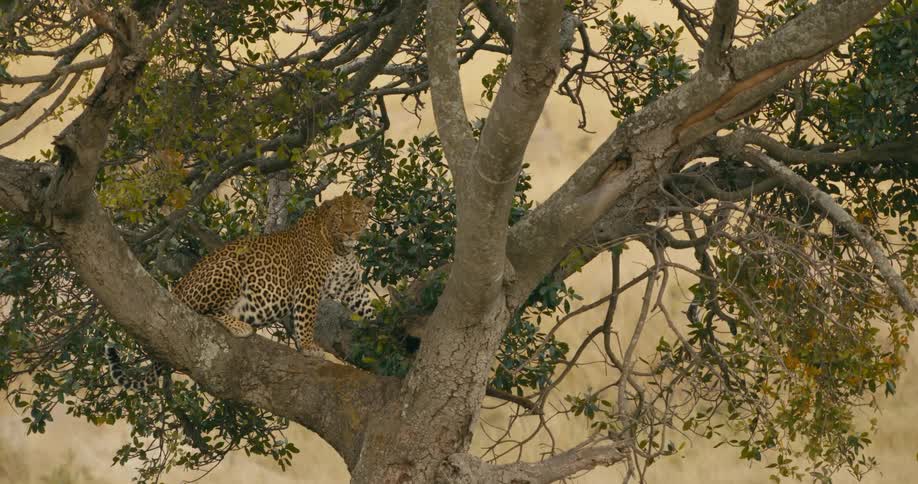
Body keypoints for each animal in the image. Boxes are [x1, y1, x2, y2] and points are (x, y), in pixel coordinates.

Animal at [105, 193, 376, 390]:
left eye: (357, 215)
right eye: (340, 217)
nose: (350, 231)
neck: (340, 248)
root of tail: (177, 289)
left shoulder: (350, 287)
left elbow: (369, 306)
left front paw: (383, 331)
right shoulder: (309, 284)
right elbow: (306, 318)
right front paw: (309, 346)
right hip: (230, 269)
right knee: (205, 312)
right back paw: (239, 326)